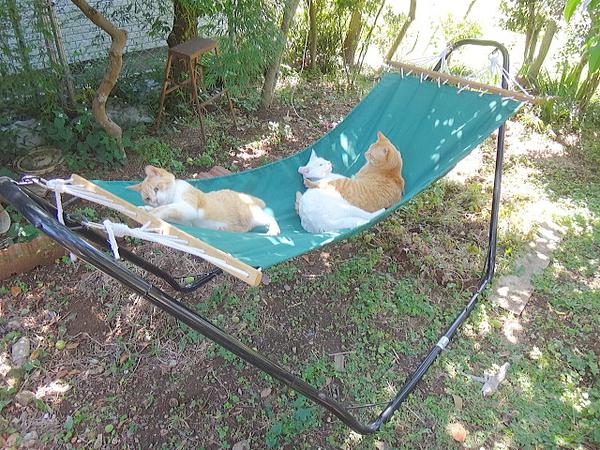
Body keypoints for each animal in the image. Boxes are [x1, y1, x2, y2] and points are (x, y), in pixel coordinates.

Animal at [128, 165, 280, 235]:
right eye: (147, 198)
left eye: (156, 189)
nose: (155, 201)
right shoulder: (185, 221)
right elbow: (166, 210)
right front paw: (145, 209)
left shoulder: (188, 208)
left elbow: (166, 208)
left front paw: (152, 212)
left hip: (253, 215)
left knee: (270, 218)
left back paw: (274, 230)